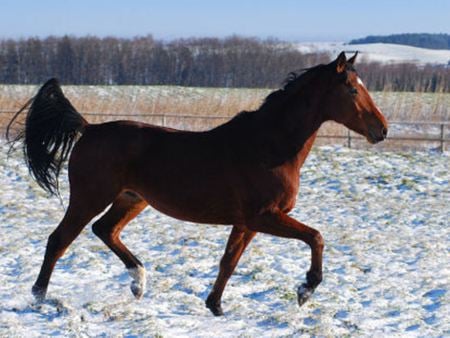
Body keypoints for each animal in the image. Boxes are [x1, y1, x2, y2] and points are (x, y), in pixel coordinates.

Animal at [6, 51, 386, 316]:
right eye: (352, 89)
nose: (382, 130)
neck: (269, 146)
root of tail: (89, 128)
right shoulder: (264, 216)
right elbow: (316, 237)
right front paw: (305, 290)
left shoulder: (247, 222)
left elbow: (228, 262)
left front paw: (215, 306)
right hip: (90, 197)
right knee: (59, 240)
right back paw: (40, 298)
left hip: (132, 199)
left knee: (105, 230)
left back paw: (138, 282)